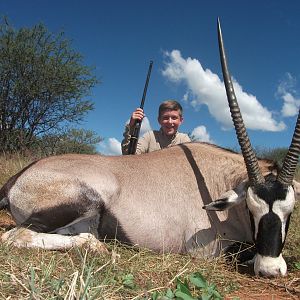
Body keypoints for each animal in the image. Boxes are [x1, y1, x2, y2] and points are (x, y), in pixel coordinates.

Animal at [0, 19, 298, 276]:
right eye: (251, 209)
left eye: (290, 211)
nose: (270, 270)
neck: (219, 177)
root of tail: (15, 179)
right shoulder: (206, 249)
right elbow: (242, 250)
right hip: (82, 200)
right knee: (15, 235)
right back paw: (97, 247)